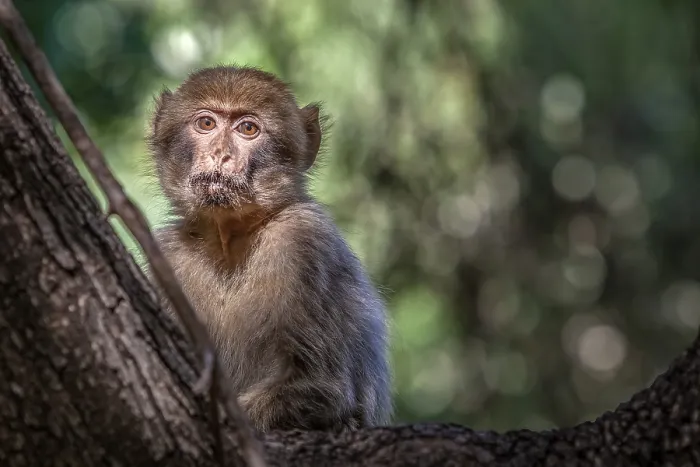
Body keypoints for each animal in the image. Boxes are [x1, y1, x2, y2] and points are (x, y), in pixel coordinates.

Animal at [146, 65, 392, 432]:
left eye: (248, 129)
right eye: (206, 123)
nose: (221, 154)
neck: (230, 241)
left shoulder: (303, 240)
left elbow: (322, 387)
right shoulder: (168, 256)